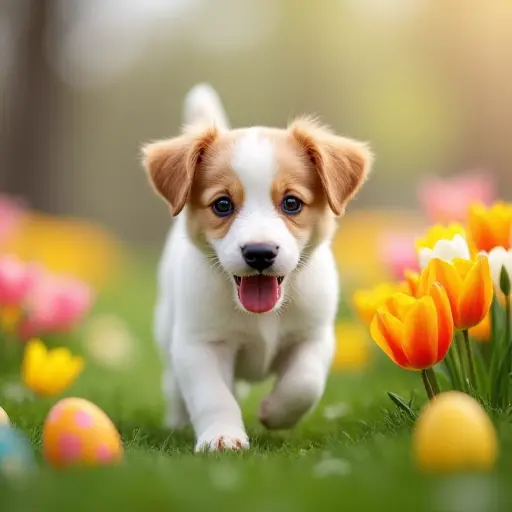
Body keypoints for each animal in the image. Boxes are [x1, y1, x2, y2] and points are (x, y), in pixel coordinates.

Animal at [141, 84, 372, 452]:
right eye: (222, 205)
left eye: (291, 203)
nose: (259, 253)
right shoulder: (200, 345)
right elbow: (212, 396)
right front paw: (221, 436)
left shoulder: (314, 337)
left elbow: (304, 384)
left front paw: (274, 412)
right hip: (167, 330)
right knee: (175, 385)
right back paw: (178, 422)